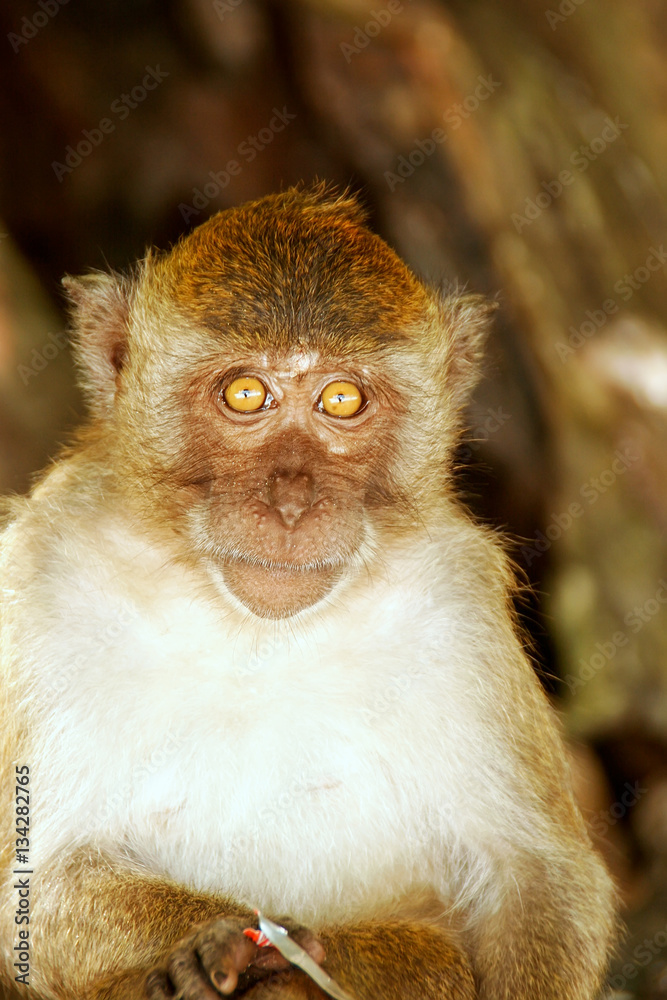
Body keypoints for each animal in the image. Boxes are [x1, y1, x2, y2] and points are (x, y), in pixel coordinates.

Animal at [0, 185, 616, 1000]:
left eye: (342, 400)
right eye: (245, 393)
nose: (292, 503)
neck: (253, 633)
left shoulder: (457, 602)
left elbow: (540, 883)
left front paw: (295, 958)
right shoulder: (38, 578)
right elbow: (36, 890)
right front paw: (231, 949)